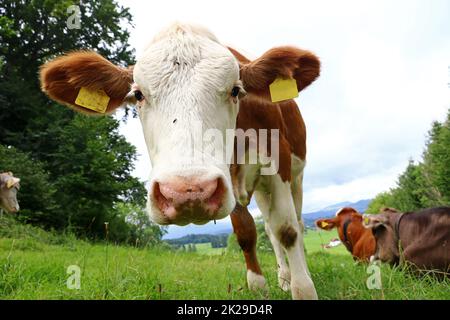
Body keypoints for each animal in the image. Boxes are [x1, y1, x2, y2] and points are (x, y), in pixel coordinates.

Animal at [38, 23, 320, 300]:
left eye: (235, 90)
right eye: (138, 95)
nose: (187, 192)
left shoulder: (278, 161)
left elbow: (287, 229)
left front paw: (304, 288)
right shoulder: (226, 177)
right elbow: (247, 232)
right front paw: (259, 285)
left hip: (295, 177)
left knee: (294, 222)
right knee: (269, 230)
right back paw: (284, 278)